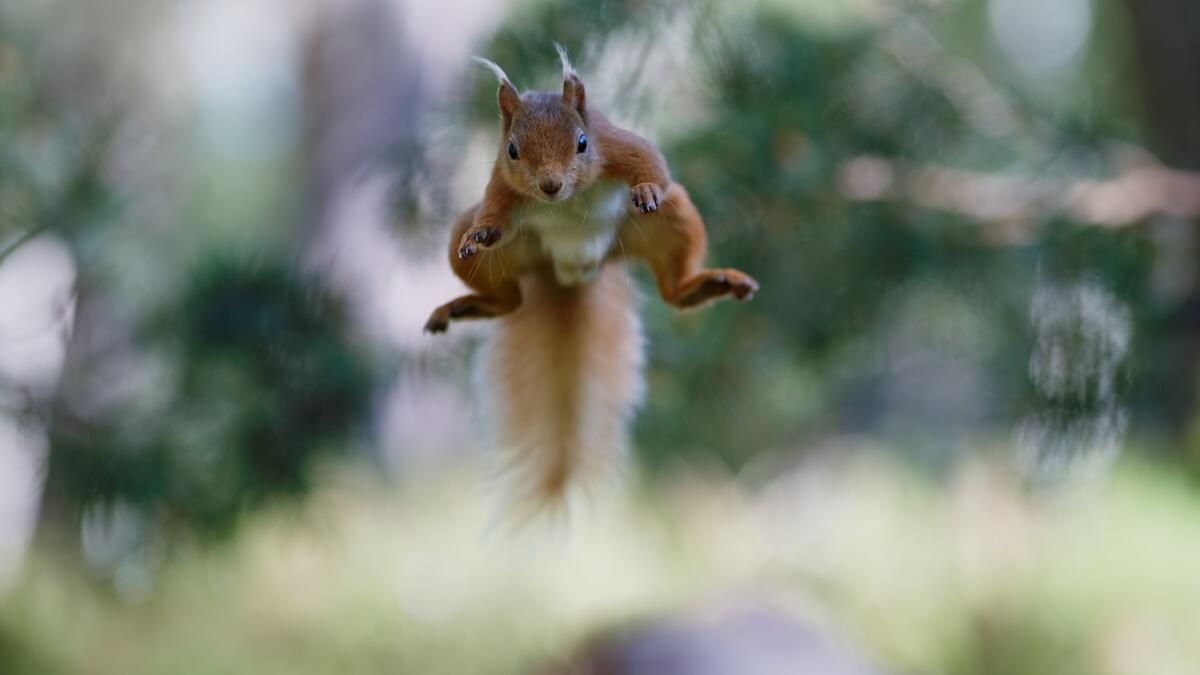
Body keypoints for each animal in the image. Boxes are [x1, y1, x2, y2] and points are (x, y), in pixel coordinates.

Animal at [427, 45, 753, 509]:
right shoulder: (501, 184)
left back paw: (707, 284)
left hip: (674, 219)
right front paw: (481, 233)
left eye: (582, 142)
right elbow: (492, 212)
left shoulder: (616, 144)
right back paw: (467, 304)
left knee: (672, 290)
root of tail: (574, 269)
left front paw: (646, 188)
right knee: (509, 301)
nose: (549, 186)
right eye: (512, 150)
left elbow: (653, 164)